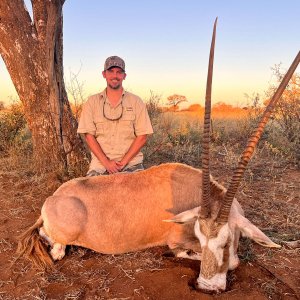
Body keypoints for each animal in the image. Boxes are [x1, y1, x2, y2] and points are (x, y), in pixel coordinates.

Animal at [17, 19, 298, 294]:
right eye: (201, 238)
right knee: (56, 248)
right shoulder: (177, 239)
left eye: (228, 241)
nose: (206, 287)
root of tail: (53, 198)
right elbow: (194, 254)